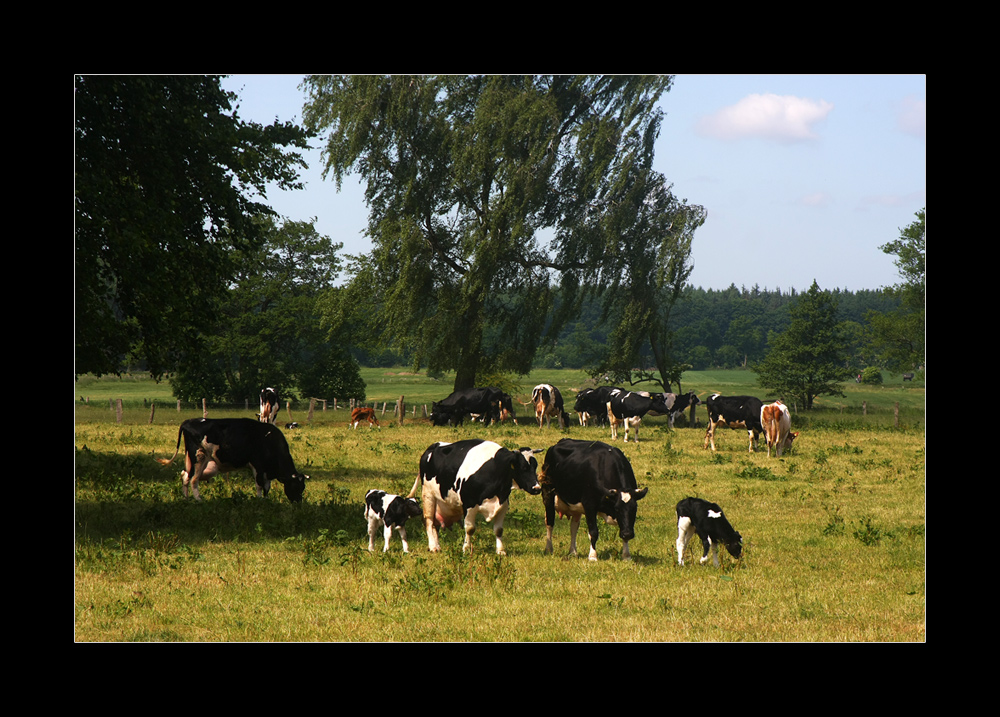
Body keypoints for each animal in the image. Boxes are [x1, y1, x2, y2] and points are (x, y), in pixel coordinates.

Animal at [153, 416, 304, 500]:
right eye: (295, 487)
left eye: (302, 488)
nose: (298, 503)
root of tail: (188, 421)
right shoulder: (257, 466)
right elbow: (260, 485)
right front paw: (260, 501)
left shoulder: (266, 471)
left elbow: (267, 487)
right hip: (199, 456)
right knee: (194, 480)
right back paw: (198, 500)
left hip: (193, 460)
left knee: (185, 476)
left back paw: (186, 499)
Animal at [408, 436, 544, 552]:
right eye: (523, 467)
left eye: (535, 466)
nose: (537, 488)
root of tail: (433, 446)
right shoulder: (469, 504)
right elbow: (470, 529)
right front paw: (466, 549)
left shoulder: (503, 505)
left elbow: (499, 530)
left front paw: (500, 550)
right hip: (428, 494)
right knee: (429, 521)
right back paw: (433, 546)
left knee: (435, 525)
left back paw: (437, 545)